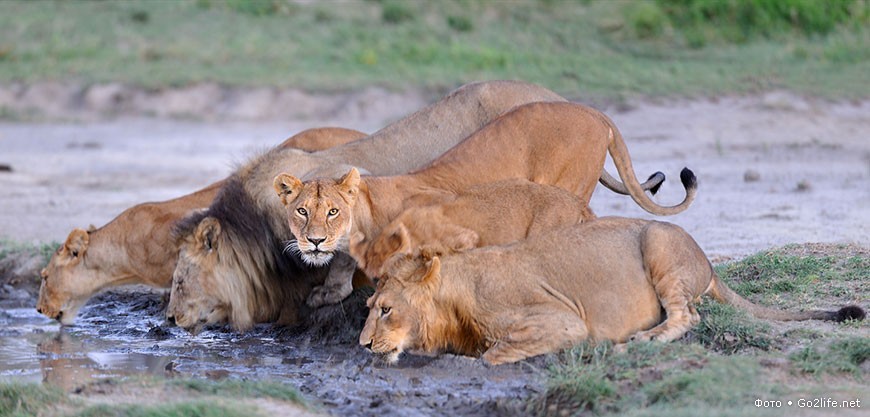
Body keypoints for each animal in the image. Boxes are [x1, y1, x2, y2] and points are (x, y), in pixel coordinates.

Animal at [360, 218, 864, 364]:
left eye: (386, 309)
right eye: (368, 306)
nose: (362, 344)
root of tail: (707, 260)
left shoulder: (562, 320)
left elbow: (492, 353)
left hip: (658, 242)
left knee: (687, 317)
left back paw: (634, 342)